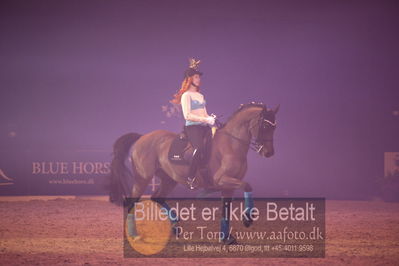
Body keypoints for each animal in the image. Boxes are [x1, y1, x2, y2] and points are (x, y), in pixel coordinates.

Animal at [108, 103, 280, 244]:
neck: (231, 144)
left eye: (274, 127)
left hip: (169, 179)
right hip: (142, 178)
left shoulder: (228, 186)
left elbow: (226, 210)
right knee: (133, 202)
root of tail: (142, 137)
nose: (269, 153)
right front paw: (247, 219)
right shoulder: (222, 180)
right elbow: (247, 186)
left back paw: (176, 226)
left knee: (157, 198)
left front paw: (226, 238)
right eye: (265, 127)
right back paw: (135, 235)